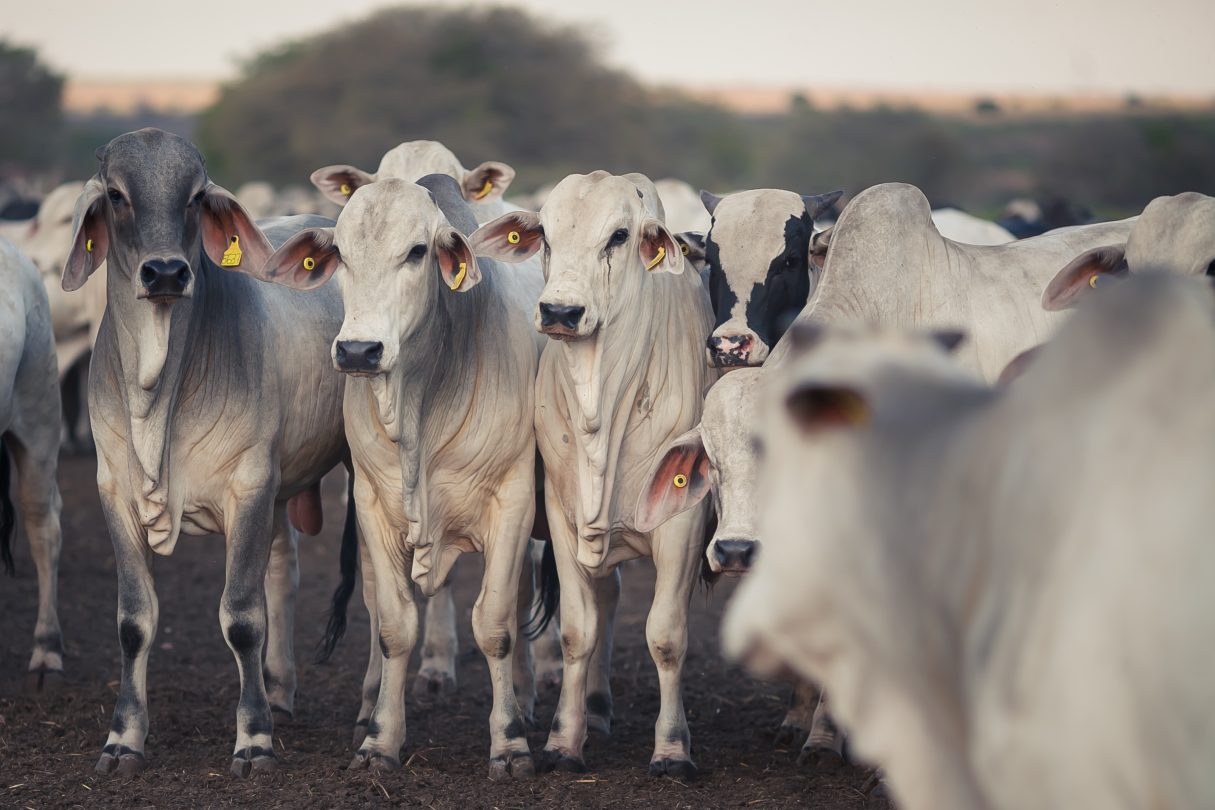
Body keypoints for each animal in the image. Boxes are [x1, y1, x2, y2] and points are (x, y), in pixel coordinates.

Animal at [64, 131, 352, 777]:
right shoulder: (113, 493)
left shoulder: (247, 485)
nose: (167, 271)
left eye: (195, 196)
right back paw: (279, 691)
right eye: (116, 194)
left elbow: (242, 619)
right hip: (279, 493)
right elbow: (134, 621)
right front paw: (123, 738)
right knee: (283, 572)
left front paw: (254, 740)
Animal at [468, 171, 714, 777]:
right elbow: (578, 631)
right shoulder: (562, 513)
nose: (561, 312)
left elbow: (666, 636)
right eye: (546, 234)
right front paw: (562, 740)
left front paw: (672, 749)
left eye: (619, 236)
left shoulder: (683, 522)